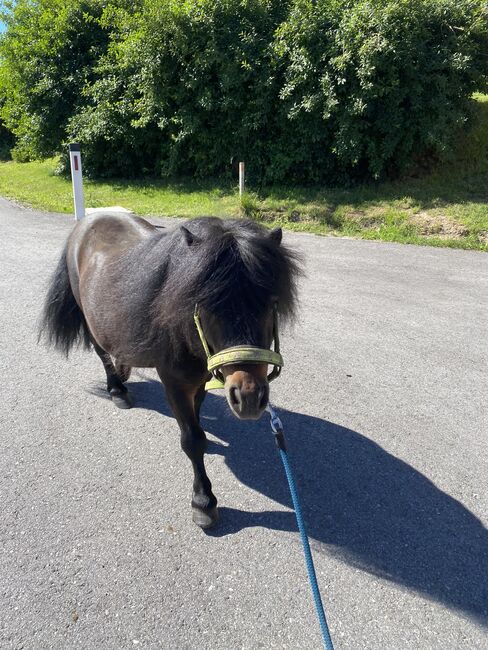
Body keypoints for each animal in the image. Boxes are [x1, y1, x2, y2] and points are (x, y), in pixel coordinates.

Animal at [40, 213, 300, 528]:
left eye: (271, 303)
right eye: (205, 303)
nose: (249, 396)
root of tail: (88, 219)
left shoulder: (200, 381)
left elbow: (197, 422)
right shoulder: (175, 385)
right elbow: (192, 440)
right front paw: (203, 501)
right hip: (90, 322)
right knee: (102, 353)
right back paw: (117, 389)